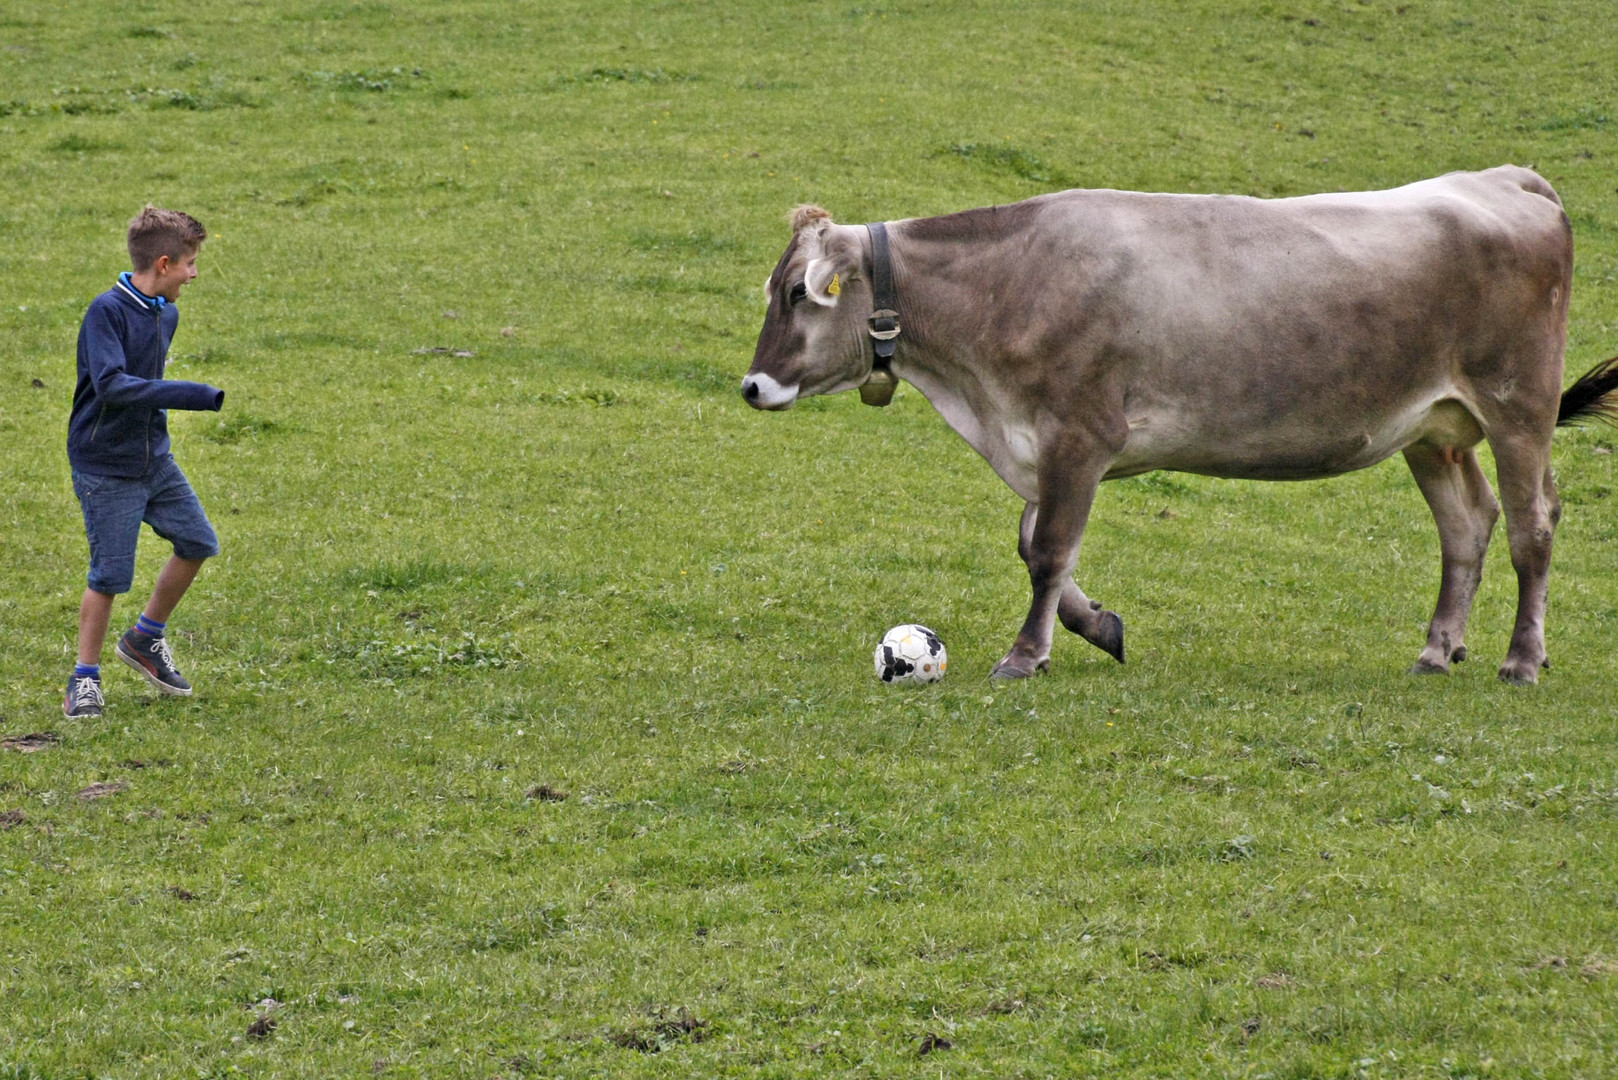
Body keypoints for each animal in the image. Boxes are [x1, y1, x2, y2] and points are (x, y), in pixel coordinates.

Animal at [741, 169, 1618, 683]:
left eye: (796, 293)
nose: (751, 386)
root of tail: (1508, 179)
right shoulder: (1045, 441)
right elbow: (1036, 547)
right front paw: (1100, 627)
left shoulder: (1080, 432)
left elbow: (1047, 551)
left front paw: (1025, 656)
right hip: (1434, 427)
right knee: (1467, 526)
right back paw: (1439, 648)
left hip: (1519, 406)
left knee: (1532, 527)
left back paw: (1521, 659)